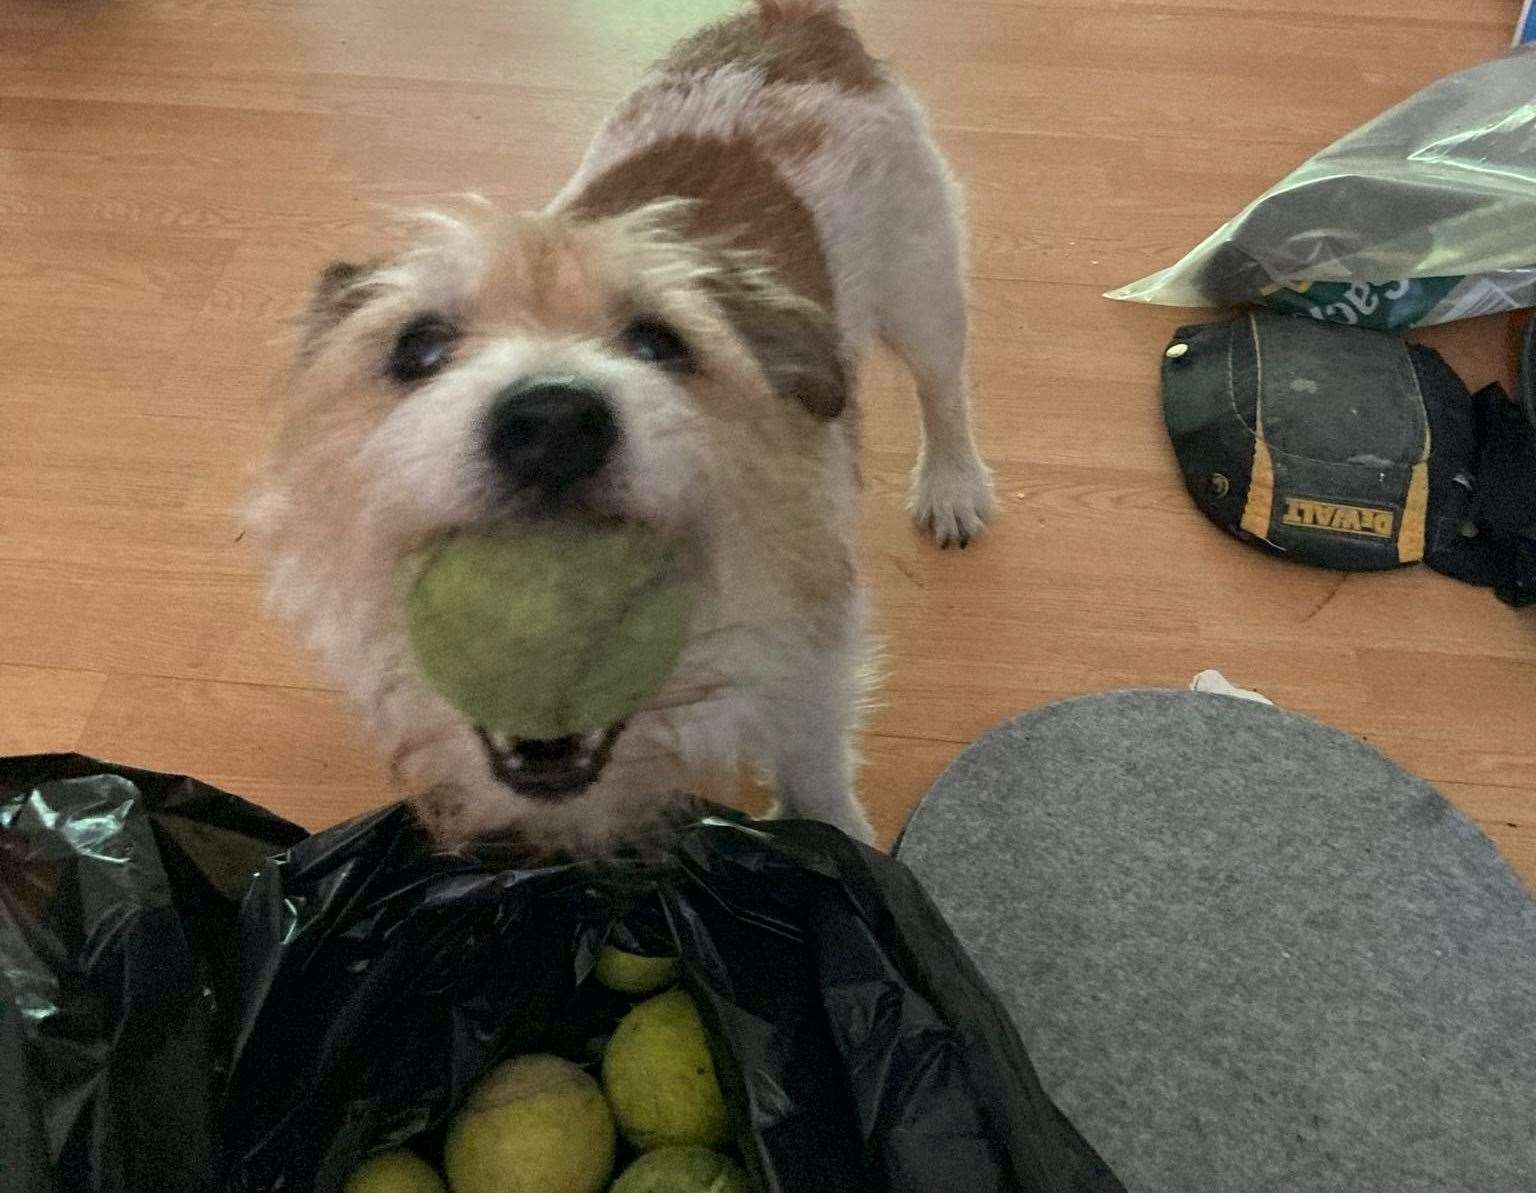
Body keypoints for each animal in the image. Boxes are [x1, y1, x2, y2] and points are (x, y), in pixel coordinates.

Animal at [245, 2, 989, 853]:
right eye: (418, 348)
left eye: (659, 342)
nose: (550, 422)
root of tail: (794, 23)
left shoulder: (815, 657)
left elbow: (815, 763)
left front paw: (841, 842)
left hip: (924, 291)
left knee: (945, 391)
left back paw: (954, 486)